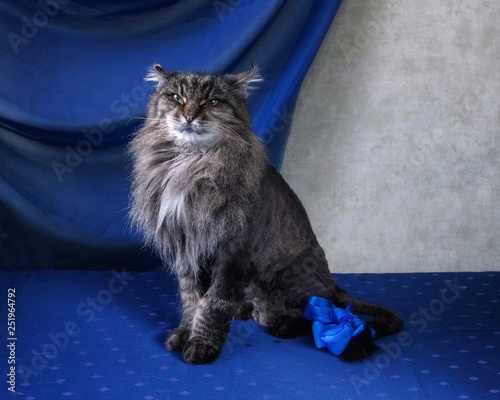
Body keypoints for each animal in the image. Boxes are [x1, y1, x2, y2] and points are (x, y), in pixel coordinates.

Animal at [128, 65, 402, 366]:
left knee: (315, 312)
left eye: (212, 102)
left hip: (285, 276)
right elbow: (191, 300)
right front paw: (184, 333)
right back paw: (246, 311)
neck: (191, 164)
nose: (189, 115)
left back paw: (284, 325)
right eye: (177, 97)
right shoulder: (186, 249)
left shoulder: (231, 252)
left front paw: (202, 344)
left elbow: (213, 303)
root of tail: (333, 285)